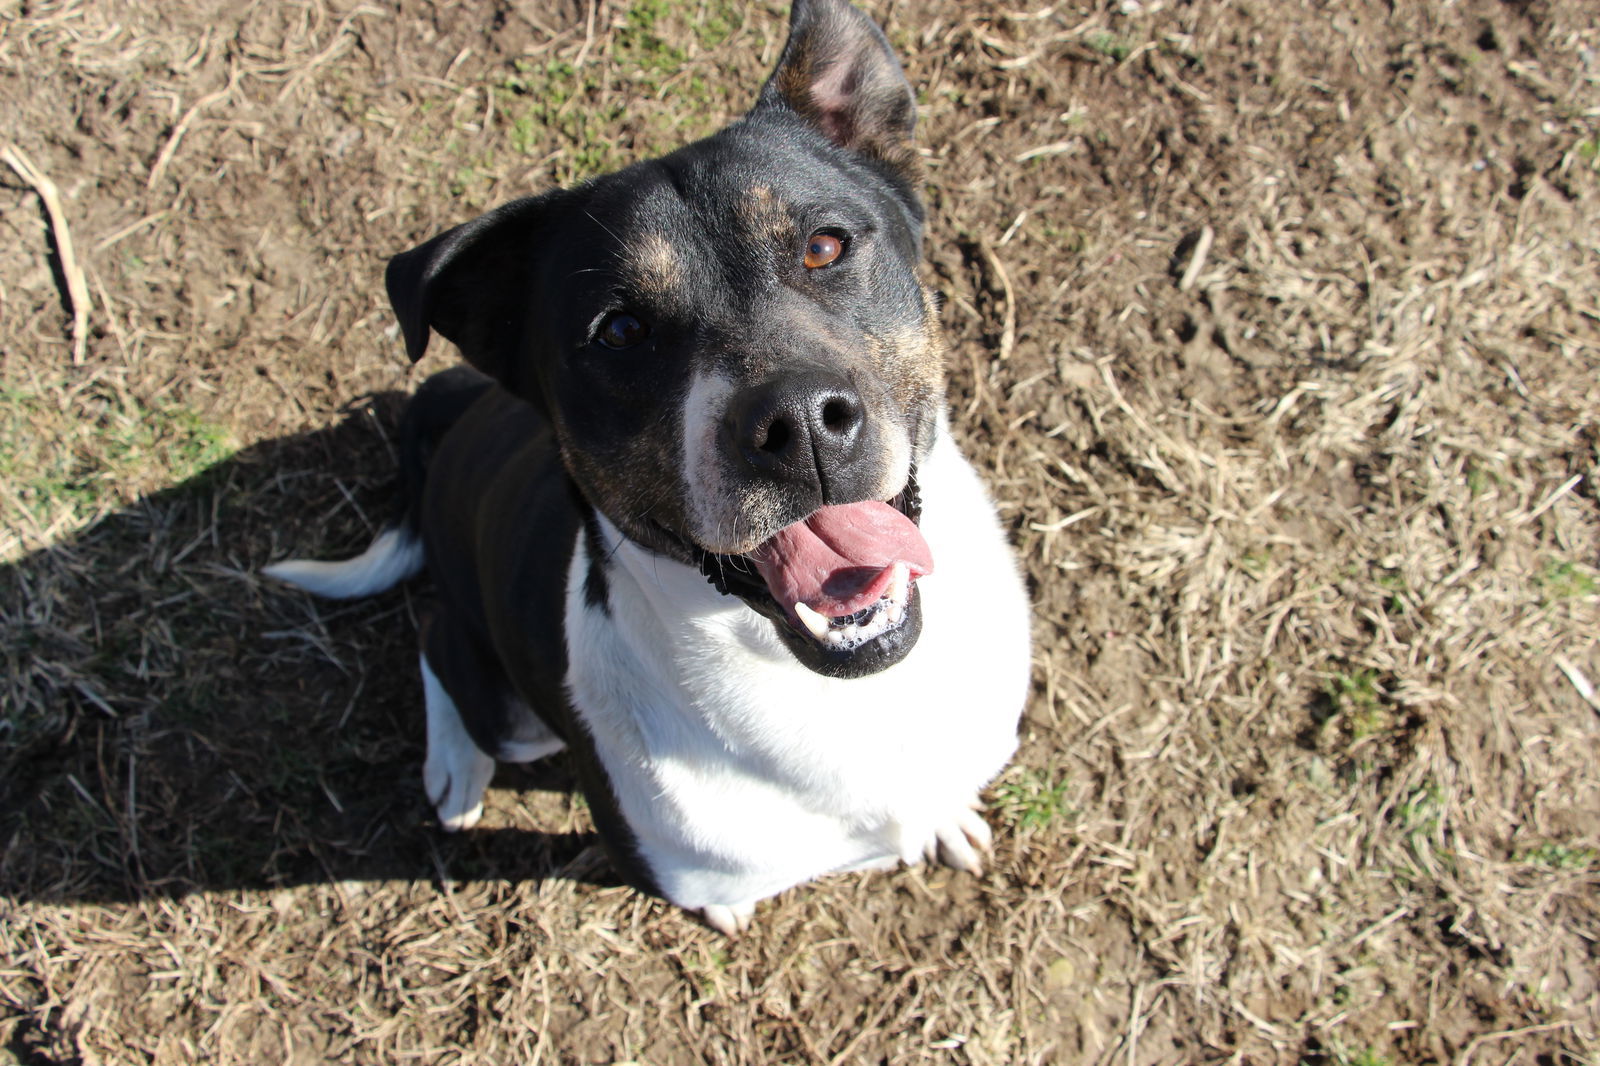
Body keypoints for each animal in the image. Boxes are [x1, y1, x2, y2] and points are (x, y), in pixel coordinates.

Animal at [265, 0, 1024, 928]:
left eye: (824, 246)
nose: (799, 423)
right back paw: (456, 766)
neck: (834, 694)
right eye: (619, 331)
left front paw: (945, 818)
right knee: (436, 638)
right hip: (517, 711)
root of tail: (455, 417)